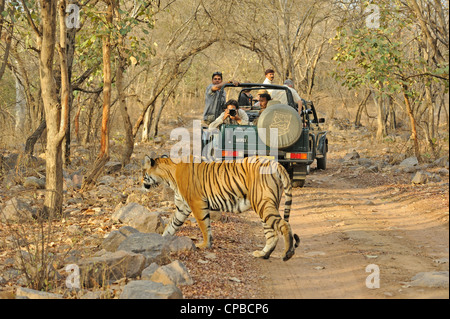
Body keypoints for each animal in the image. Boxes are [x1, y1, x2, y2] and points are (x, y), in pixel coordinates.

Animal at [142, 155, 300, 262]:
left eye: (143, 172)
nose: (141, 182)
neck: (169, 176)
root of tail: (275, 163)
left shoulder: (197, 203)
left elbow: (204, 226)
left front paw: (204, 245)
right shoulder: (183, 207)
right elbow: (172, 225)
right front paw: (161, 240)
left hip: (263, 204)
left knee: (284, 225)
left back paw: (287, 254)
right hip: (265, 205)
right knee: (272, 233)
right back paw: (263, 254)